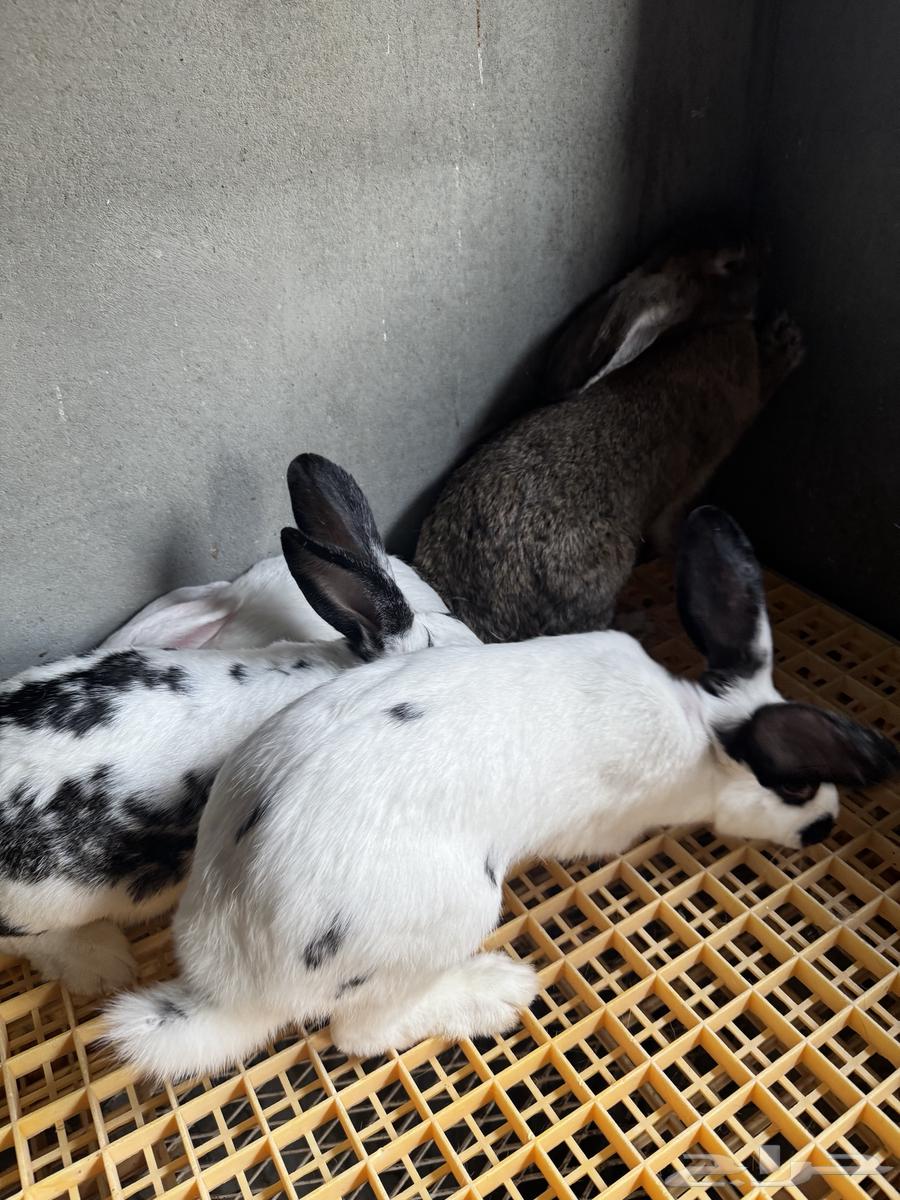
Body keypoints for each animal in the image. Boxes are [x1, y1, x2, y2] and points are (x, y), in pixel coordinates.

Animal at [103, 506, 898, 1082]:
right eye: (797, 785)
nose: (826, 825)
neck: (701, 727)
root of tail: (238, 984)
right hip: (449, 917)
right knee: (359, 1034)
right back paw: (495, 992)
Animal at [413, 222, 806, 643]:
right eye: (730, 262)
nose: (763, 241)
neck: (696, 329)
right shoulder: (700, 468)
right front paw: (787, 342)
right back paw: (637, 624)